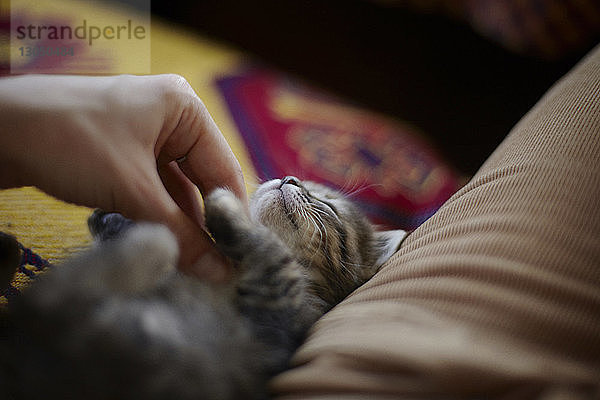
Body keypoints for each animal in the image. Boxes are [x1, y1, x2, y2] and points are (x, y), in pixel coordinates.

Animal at [0, 177, 406, 400]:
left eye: (330, 206)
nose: (289, 178)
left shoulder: (276, 308)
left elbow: (269, 250)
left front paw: (225, 208)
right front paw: (111, 218)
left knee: (54, 298)